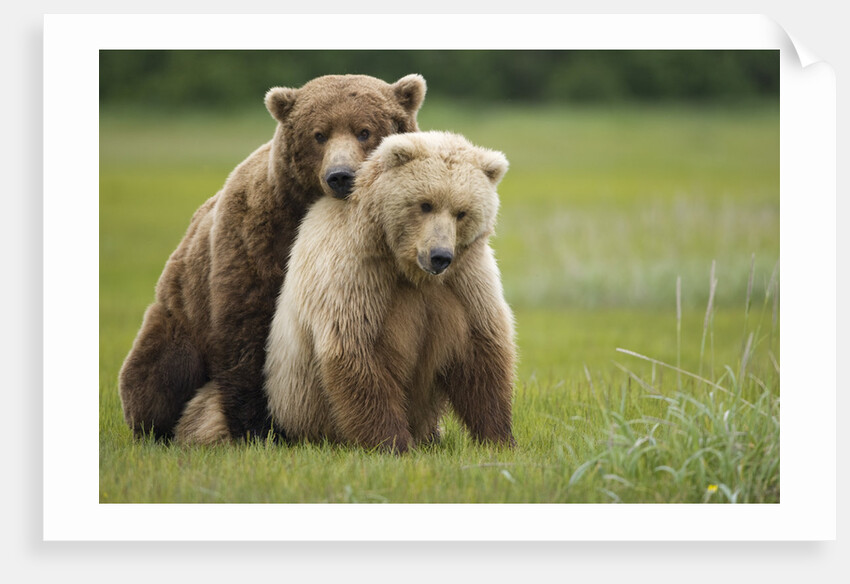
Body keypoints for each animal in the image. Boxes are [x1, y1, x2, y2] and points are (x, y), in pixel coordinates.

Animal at [118, 73, 427, 444]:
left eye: (364, 131)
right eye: (319, 134)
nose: (340, 175)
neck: (304, 209)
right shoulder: (254, 239)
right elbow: (247, 329)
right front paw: (257, 429)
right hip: (180, 316)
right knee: (158, 375)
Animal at [263, 131, 517, 453]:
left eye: (461, 212)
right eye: (425, 204)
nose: (440, 256)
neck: (408, 270)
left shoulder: (466, 281)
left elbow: (481, 352)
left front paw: (500, 438)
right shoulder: (358, 274)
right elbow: (357, 350)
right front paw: (393, 442)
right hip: (298, 405)